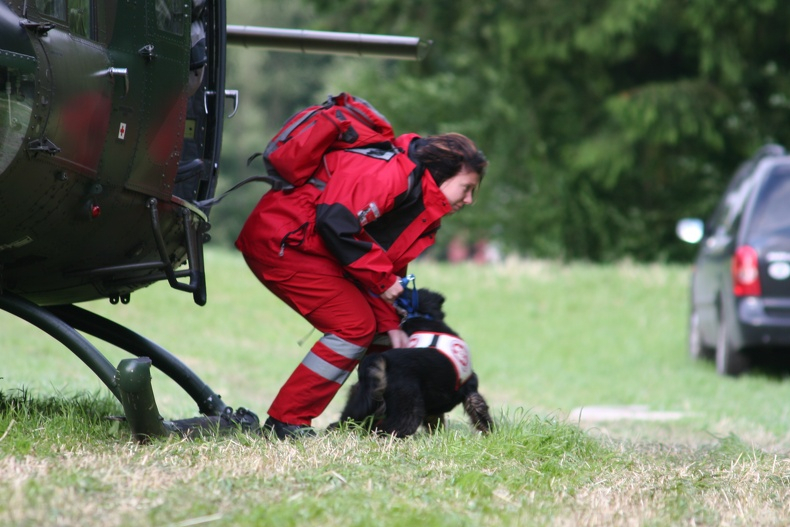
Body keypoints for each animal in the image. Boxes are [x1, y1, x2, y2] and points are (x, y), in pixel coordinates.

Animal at [336, 288, 496, 438]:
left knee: (344, 423)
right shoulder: (471, 390)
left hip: (360, 402)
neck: (420, 317)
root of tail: (382, 359)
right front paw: (491, 435)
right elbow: (481, 414)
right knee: (385, 430)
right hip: (407, 411)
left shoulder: (432, 408)